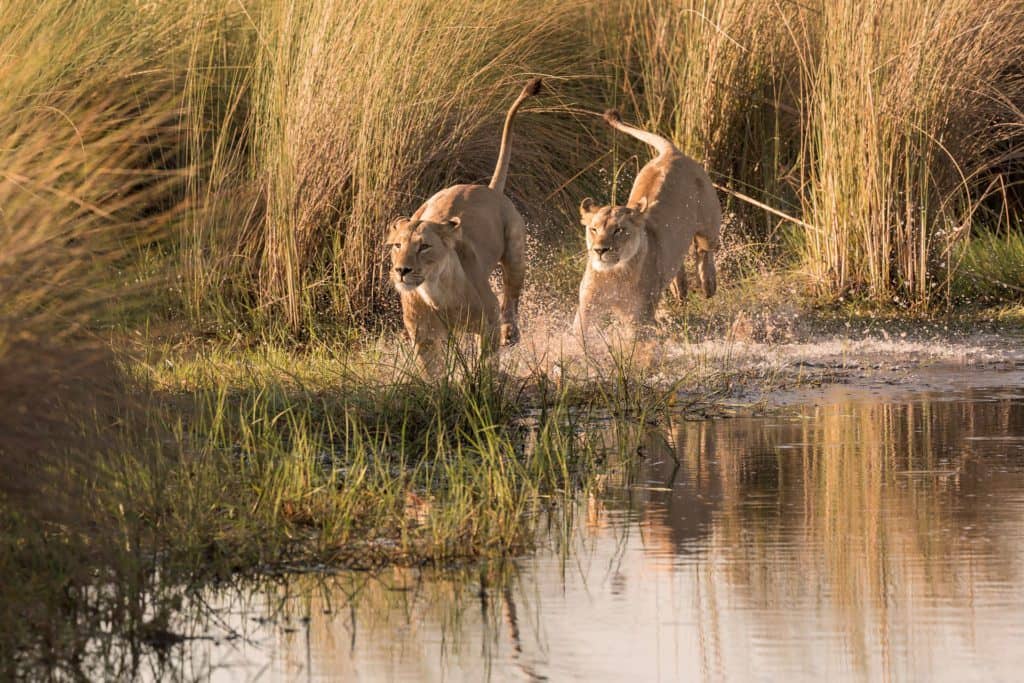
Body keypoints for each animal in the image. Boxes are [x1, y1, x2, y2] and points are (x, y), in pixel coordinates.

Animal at [386, 78, 541, 374]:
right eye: (397, 246)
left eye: (424, 246)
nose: (401, 270)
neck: (434, 292)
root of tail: (485, 188)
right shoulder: (424, 338)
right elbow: (432, 374)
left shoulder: (488, 321)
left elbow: (486, 363)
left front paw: (485, 381)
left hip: (515, 253)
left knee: (512, 296)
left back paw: (511, 333)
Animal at [574, 110, 721, 341]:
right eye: (593, 229)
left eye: (619, 230)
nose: (599, 250)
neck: (615, 272)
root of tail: (672, 152)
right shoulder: (587, 306)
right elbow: (578, 336)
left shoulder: (639, 317)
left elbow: (634, 341)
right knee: (678, 259)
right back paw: (680, 289)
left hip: (709, 225)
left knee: (705, 250)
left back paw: (708, 284)